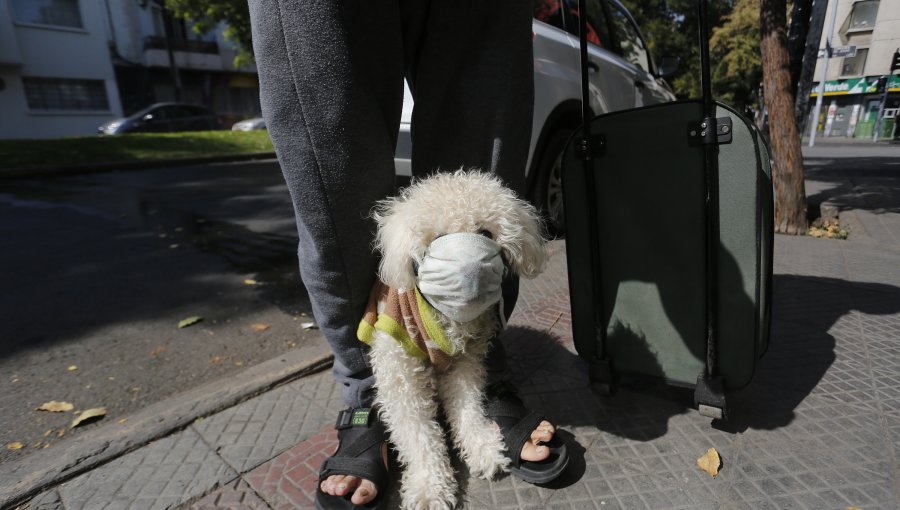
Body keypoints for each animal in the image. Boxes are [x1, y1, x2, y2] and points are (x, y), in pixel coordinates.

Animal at [360, 171, 564, 510]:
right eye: (438, 236)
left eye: (485, 232)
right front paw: (429, 486)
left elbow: (467, 405)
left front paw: (482, 446)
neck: (447, 316)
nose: (470, 269)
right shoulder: (400, 371)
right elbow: (417, 431)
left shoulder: (466, 362)